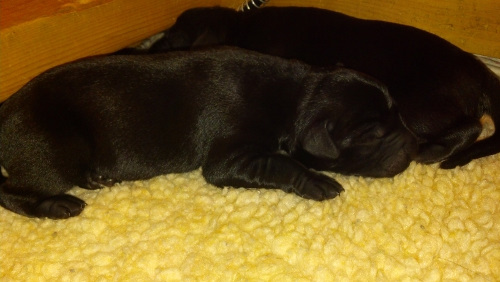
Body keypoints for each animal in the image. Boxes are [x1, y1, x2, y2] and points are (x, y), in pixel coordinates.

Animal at [0, 48, 416, 219]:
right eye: (373, 134)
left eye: (399, 114)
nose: (413, 146)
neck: (300, 92)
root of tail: (7, 108)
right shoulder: (229, 157)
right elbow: (279, 164)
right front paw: (317, 181)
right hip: (53, 151)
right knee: (12, 190)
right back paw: (56, 206)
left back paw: (98, 178)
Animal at [136, 6, 500, 170]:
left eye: (171, 39)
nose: (140, 51)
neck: (243, 26)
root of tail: (479, 68)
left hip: (418, 109)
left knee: (471, 126)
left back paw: (435, 152)